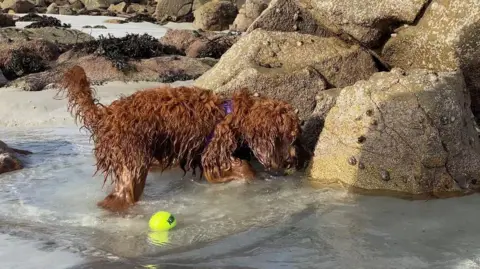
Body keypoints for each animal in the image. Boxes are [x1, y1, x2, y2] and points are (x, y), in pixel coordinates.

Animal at [59, 65, 304, 211]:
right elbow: (242, 169)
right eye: (291, 138)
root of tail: (105, 114)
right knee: (123, 196)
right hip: (132, 162)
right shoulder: (214, 155)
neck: (231, 114)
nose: (294, 161)